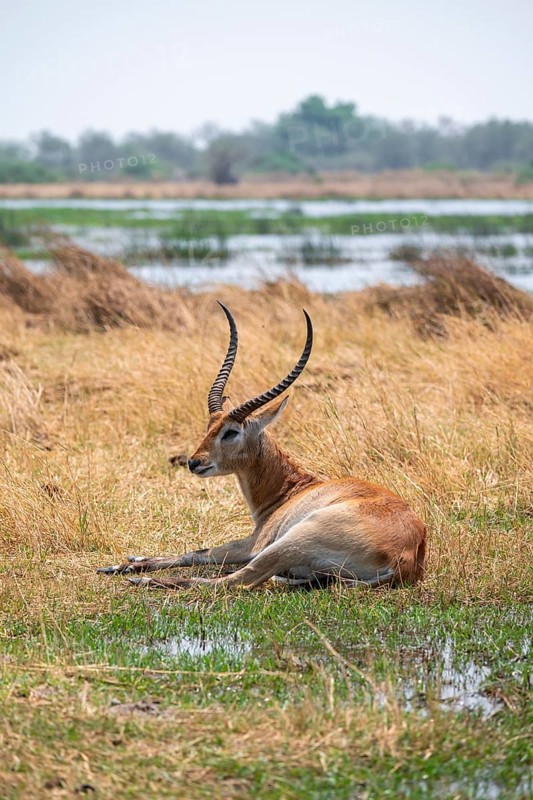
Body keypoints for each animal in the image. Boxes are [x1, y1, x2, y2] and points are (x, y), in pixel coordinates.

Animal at [98, 303, 427, 590]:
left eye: (231, 432)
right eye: (209, 426)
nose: (194, 462)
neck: (289, 491)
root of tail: (407, 556)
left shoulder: (253, 543)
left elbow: (199, 552)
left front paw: (124, 565)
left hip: (290, 541)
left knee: (234, 581)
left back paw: (143, 581)